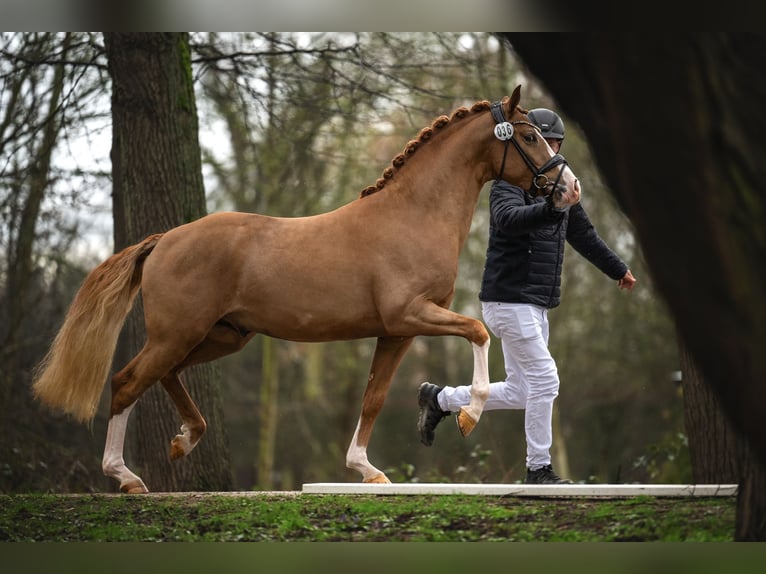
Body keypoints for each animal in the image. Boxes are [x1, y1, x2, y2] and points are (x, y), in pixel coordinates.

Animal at [33, 85, 580, 496]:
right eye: (529, 136)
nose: (569, 189)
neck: (413, 215)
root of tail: (165, 238)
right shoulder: (410, 315)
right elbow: (477, 332)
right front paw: (468, 415)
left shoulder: (395, 332)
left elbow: (373, 397)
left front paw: (366, 470)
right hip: (179, 333)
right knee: (127, 381)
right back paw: (126, 477)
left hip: (222, 336)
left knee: (165, 375)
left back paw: (183, 441)